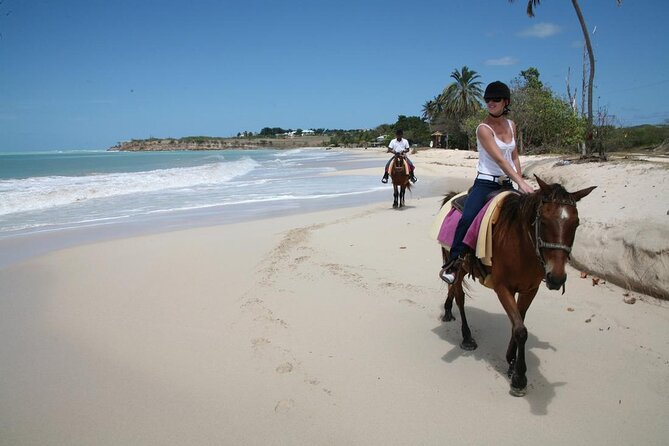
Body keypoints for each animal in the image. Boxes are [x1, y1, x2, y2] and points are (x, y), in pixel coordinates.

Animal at [440, 176, 592, 396]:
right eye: (543, 221)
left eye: (576, 223)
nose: (556, 278)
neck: (522, 245)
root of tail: (452, 196)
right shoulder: (503, 288)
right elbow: (520, 330)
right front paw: (519, 377)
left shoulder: (530, 289)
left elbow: (518, 322)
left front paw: (511, 363)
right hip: (457, 265)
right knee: (459, 295)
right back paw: (466, 337)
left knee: (452, 291)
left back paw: (447, 310)